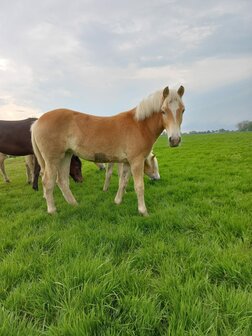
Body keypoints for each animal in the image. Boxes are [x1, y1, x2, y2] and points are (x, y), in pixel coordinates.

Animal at [31, 85, 185, 214]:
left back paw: (74, 205)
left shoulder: (127, 162)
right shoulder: (136, 162)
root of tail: (37, 122)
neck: (140, 125)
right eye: (163, 111)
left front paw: (117, 201)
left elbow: (123, 182)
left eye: (183, 110)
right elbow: (139, 186)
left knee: (62, 181)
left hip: (66, 156)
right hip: (53, 159)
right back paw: (52, 211)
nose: (174, 140)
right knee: (48, 182)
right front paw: (143, 211)